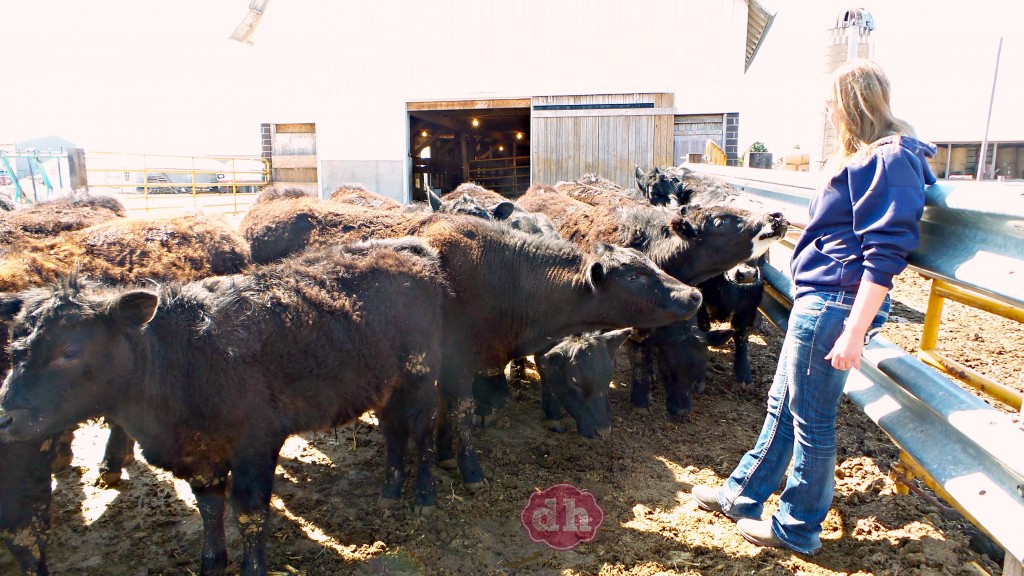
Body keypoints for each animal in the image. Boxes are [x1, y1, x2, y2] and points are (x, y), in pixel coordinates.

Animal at [1, 237, 448, 573]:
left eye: (71, 351)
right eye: (14, 347)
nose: (6, 417)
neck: (184, 358)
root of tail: (407, 247)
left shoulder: (256, 443)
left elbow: (250, 513)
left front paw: (253, 568)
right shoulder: (201, 454)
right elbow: (209, 509)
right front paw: (212, 561)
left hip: (422, 373)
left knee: (423, 430)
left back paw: (424, 494)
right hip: (387, 383)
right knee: (393, 430)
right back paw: (390, 487)